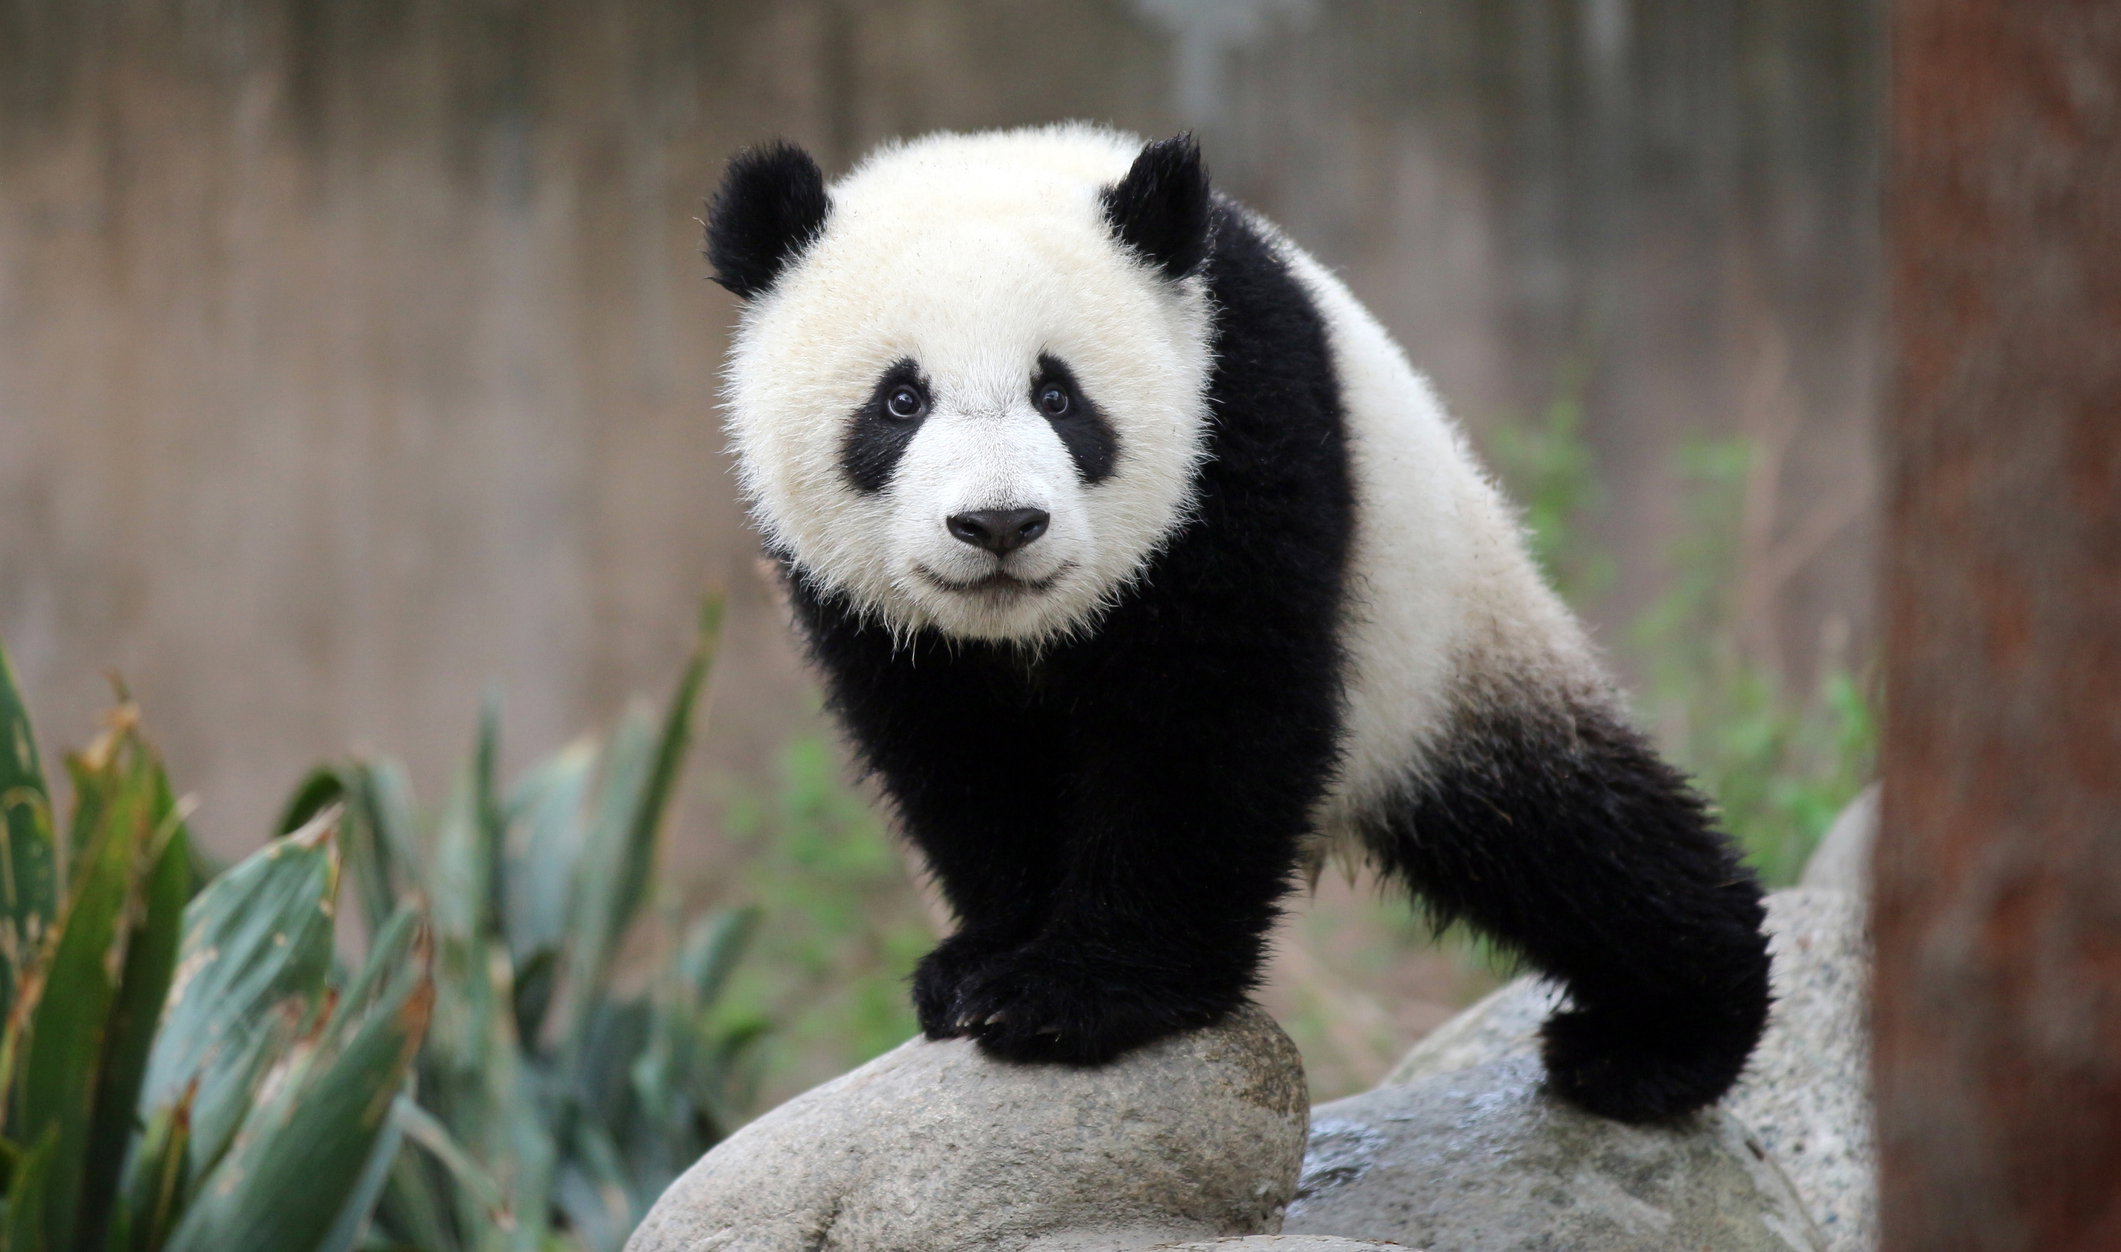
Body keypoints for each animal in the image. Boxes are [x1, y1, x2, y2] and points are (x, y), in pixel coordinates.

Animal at [705, 124, 1771, 1124]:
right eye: (899, 400)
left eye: (1059, 396)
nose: (999, 524)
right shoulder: (863, 604)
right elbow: (955, 748)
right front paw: (980, 964)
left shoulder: (1242, 413)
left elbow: (1210, 716)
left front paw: (1076, 995)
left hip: (1442, 638)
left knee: (1568, 833)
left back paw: (1657, 1040)